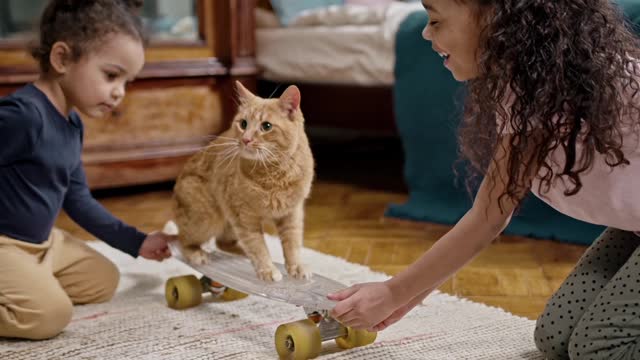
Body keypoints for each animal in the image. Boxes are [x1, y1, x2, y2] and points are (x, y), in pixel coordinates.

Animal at [172, 81, 316, 282]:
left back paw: (241, 254)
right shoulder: (244, 218)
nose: (246, 139)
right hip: (206, 219)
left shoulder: (291, 213)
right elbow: (258, 246)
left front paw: (296, 266)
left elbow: (292, 244)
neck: (273, 174)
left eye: (266, 126)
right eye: (243, 124)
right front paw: (267, 269)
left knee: (223, 242)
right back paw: (196, 254)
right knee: (182, 240)